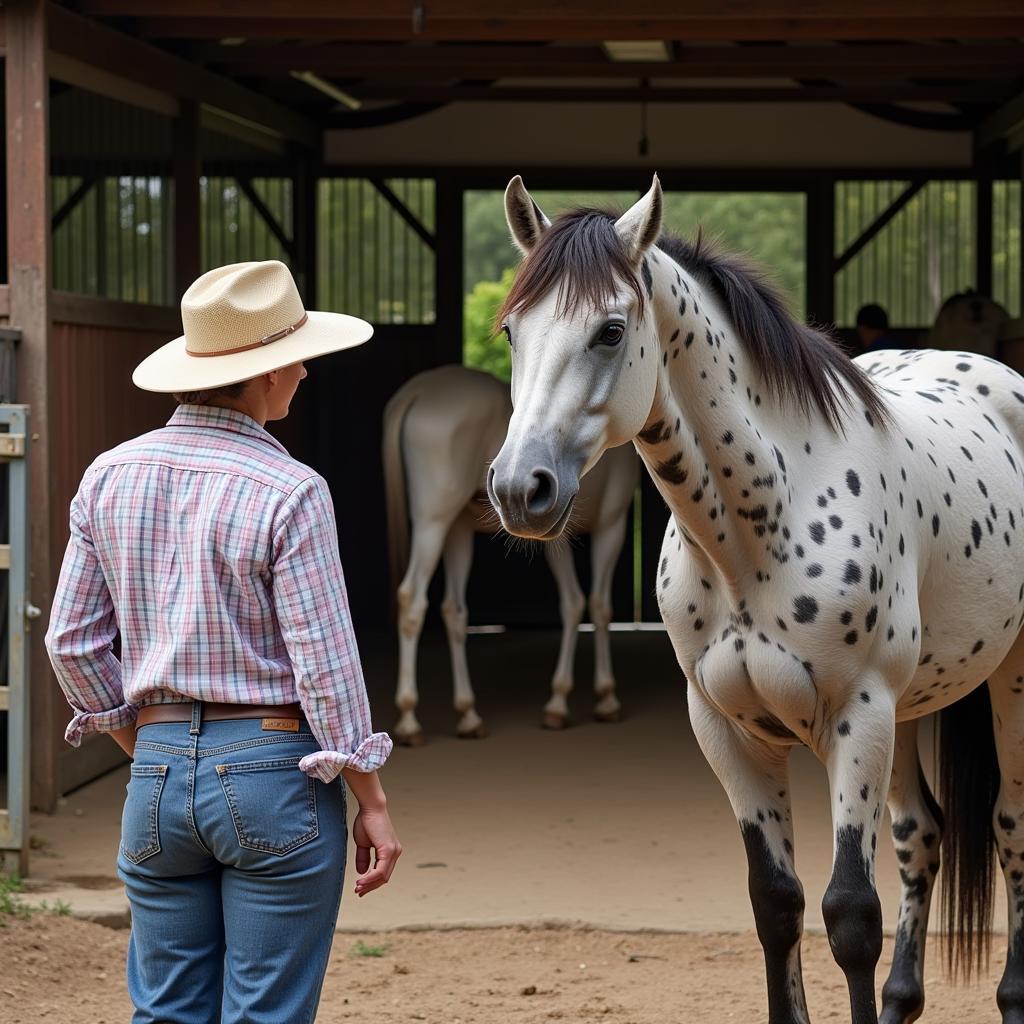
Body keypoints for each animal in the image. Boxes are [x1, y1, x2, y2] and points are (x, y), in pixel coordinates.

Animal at [385, 366, 638, 745]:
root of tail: (416, 391)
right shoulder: (612, 524)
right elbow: (599, 605)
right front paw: (606, 697)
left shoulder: (556, 536)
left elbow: (572, 603)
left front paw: (558, 703)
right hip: (434, 521)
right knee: (412, 599)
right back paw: (409, 719)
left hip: (457, 530)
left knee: (453, 610)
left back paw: (468, 715)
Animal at [485, 176, 1024, 1024]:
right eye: (512, 332)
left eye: (610, 331)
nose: (519, 489)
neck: (758, 534)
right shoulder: (729, 731)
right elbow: (776, 903)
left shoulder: (857, 721)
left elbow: (849, 916)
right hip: (912, 708)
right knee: (922, 835)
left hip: (1004, 680)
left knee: (1009, 829)